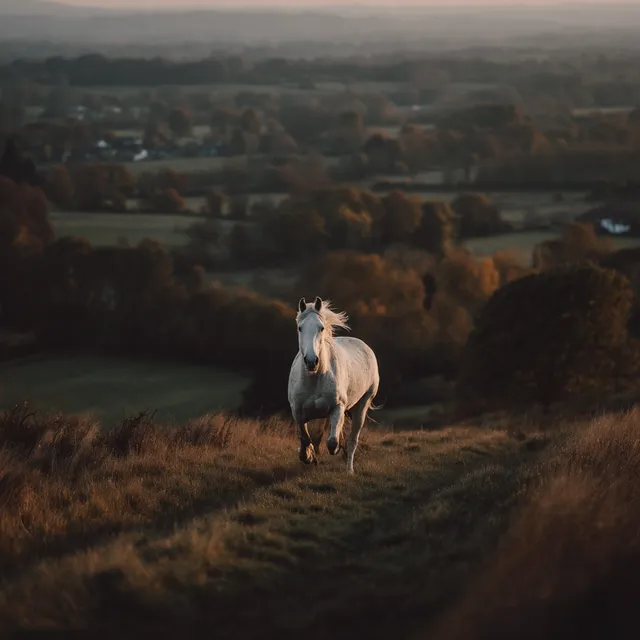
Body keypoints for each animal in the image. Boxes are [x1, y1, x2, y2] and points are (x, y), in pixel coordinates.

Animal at [287, 296, 380, 475]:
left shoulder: (338, 407)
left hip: (362, 405)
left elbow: (331, 441)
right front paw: (307, 456)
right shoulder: (298, 412)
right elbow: (306, 438)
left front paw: (333, 449)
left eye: (321, 328)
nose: (311, 361)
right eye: (300, 328)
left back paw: (349, 470)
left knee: (352, 440)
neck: (315, 379)